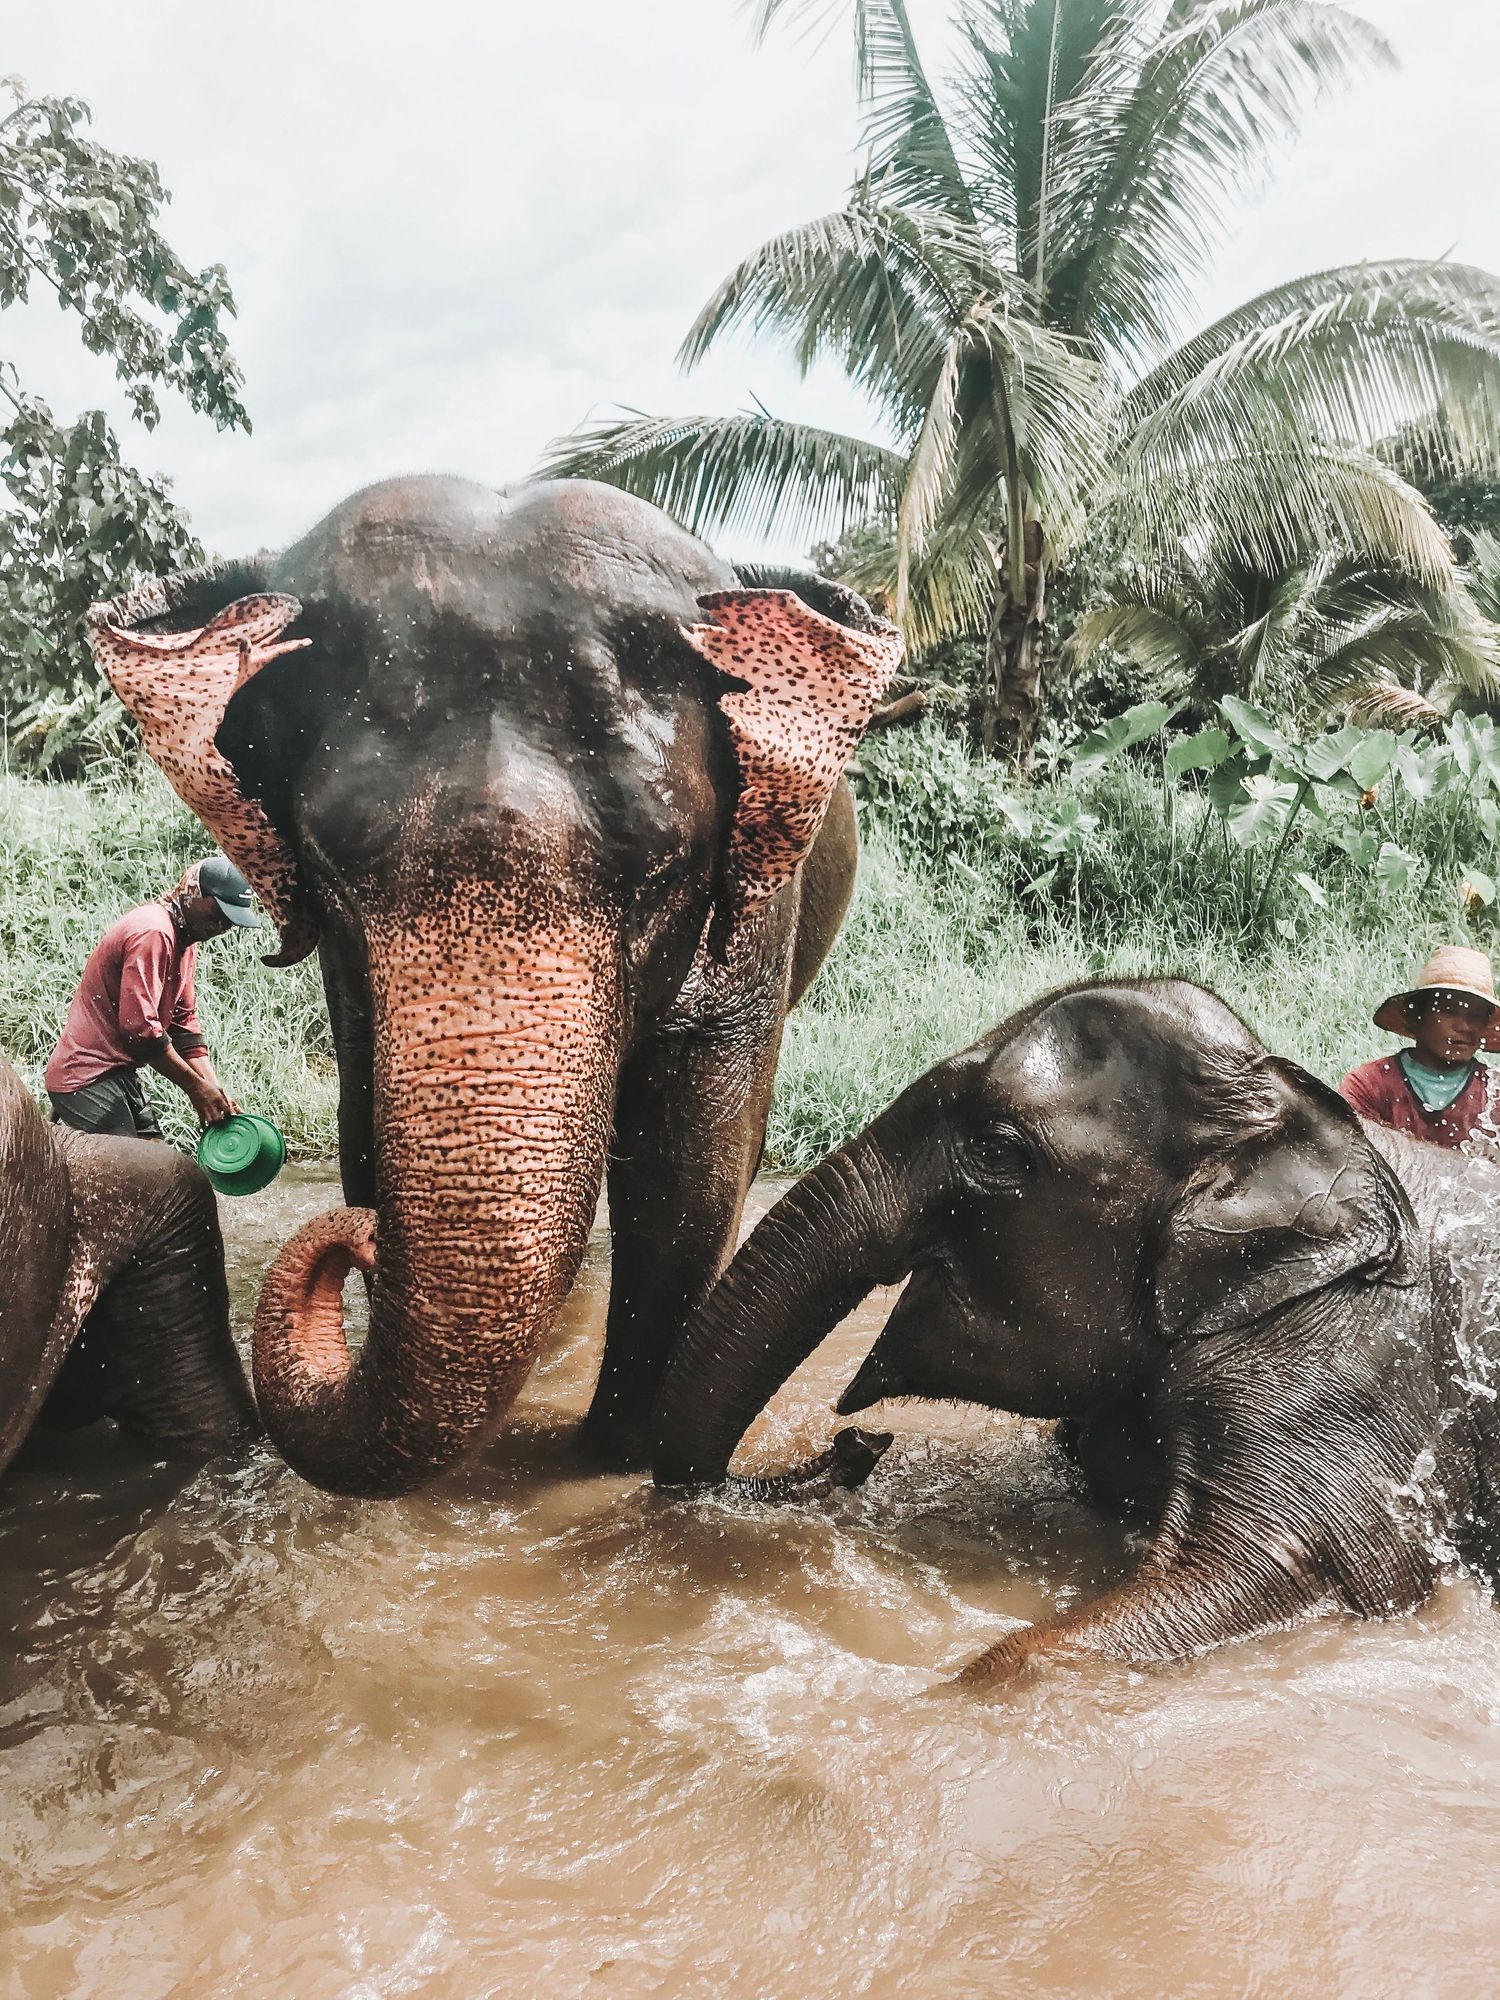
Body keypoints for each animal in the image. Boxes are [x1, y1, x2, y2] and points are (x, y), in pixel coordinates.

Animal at [88, 477, 902, 1499]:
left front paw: (611, 1463)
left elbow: (691, 1168)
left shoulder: (751, 919)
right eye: (334, 867)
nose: (354, 1240)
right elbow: (364, 1129)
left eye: (663, 871)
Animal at [651, 978, 1500, 1682]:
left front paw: (945, 1697)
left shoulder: (1342, 1364)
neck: (1285, 1107)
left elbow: (1304, 1565)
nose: (858, 1443)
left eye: (995, 1150)